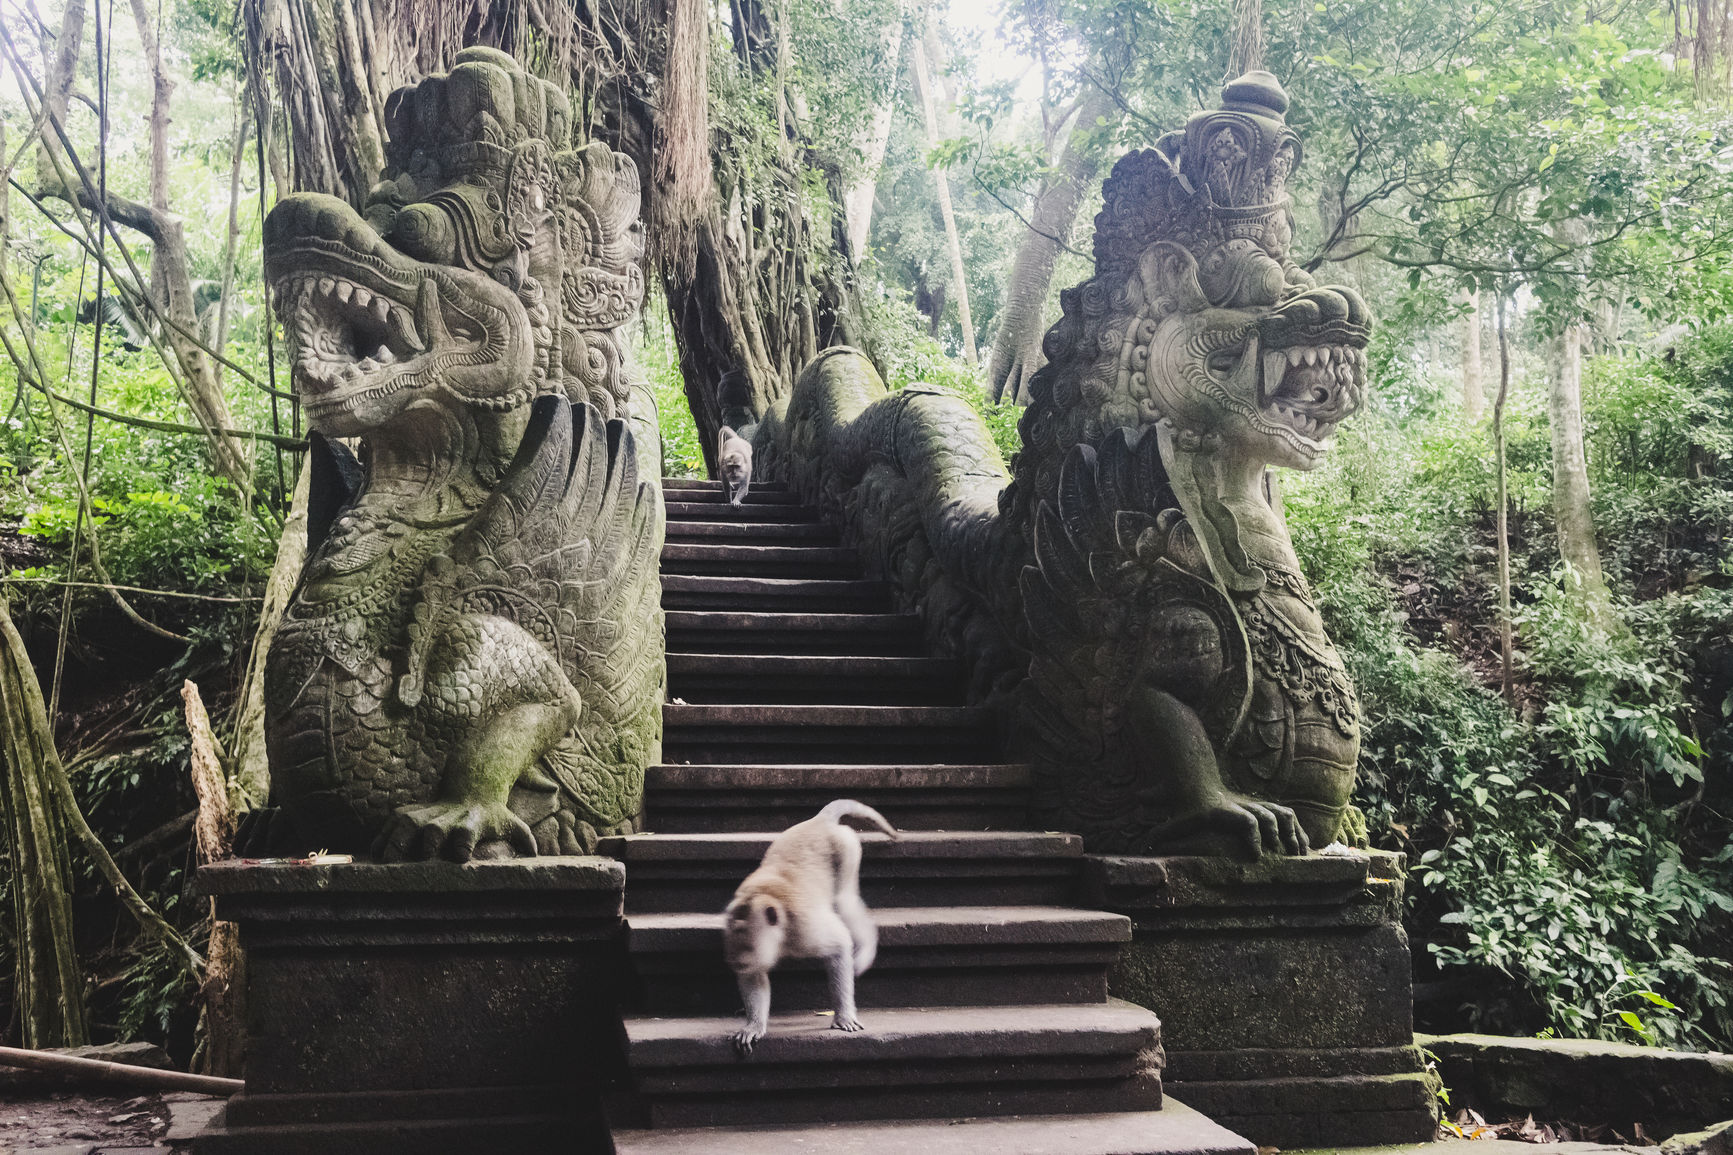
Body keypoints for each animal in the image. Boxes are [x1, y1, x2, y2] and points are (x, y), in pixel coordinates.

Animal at [720, 801, 901, 1054]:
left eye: (748, 945)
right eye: (736, 952)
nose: (736, 964)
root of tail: (820, 821)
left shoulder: (805, 928)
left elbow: (839, 943)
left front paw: (843, 1015)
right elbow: (753, 976)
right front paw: (753, 1026)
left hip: (846, 847)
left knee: (844, 900)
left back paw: (866, 949)